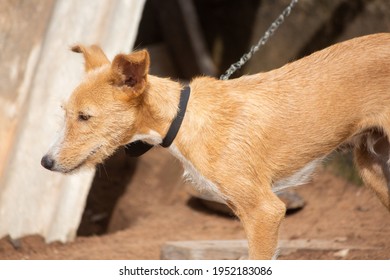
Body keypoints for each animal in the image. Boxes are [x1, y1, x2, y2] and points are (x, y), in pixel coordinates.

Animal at [42, 34, 390, 260]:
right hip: (372, 168)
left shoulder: (265, 211)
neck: (183, 118)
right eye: (65, 112)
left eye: (85, 117)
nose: (45, 162)